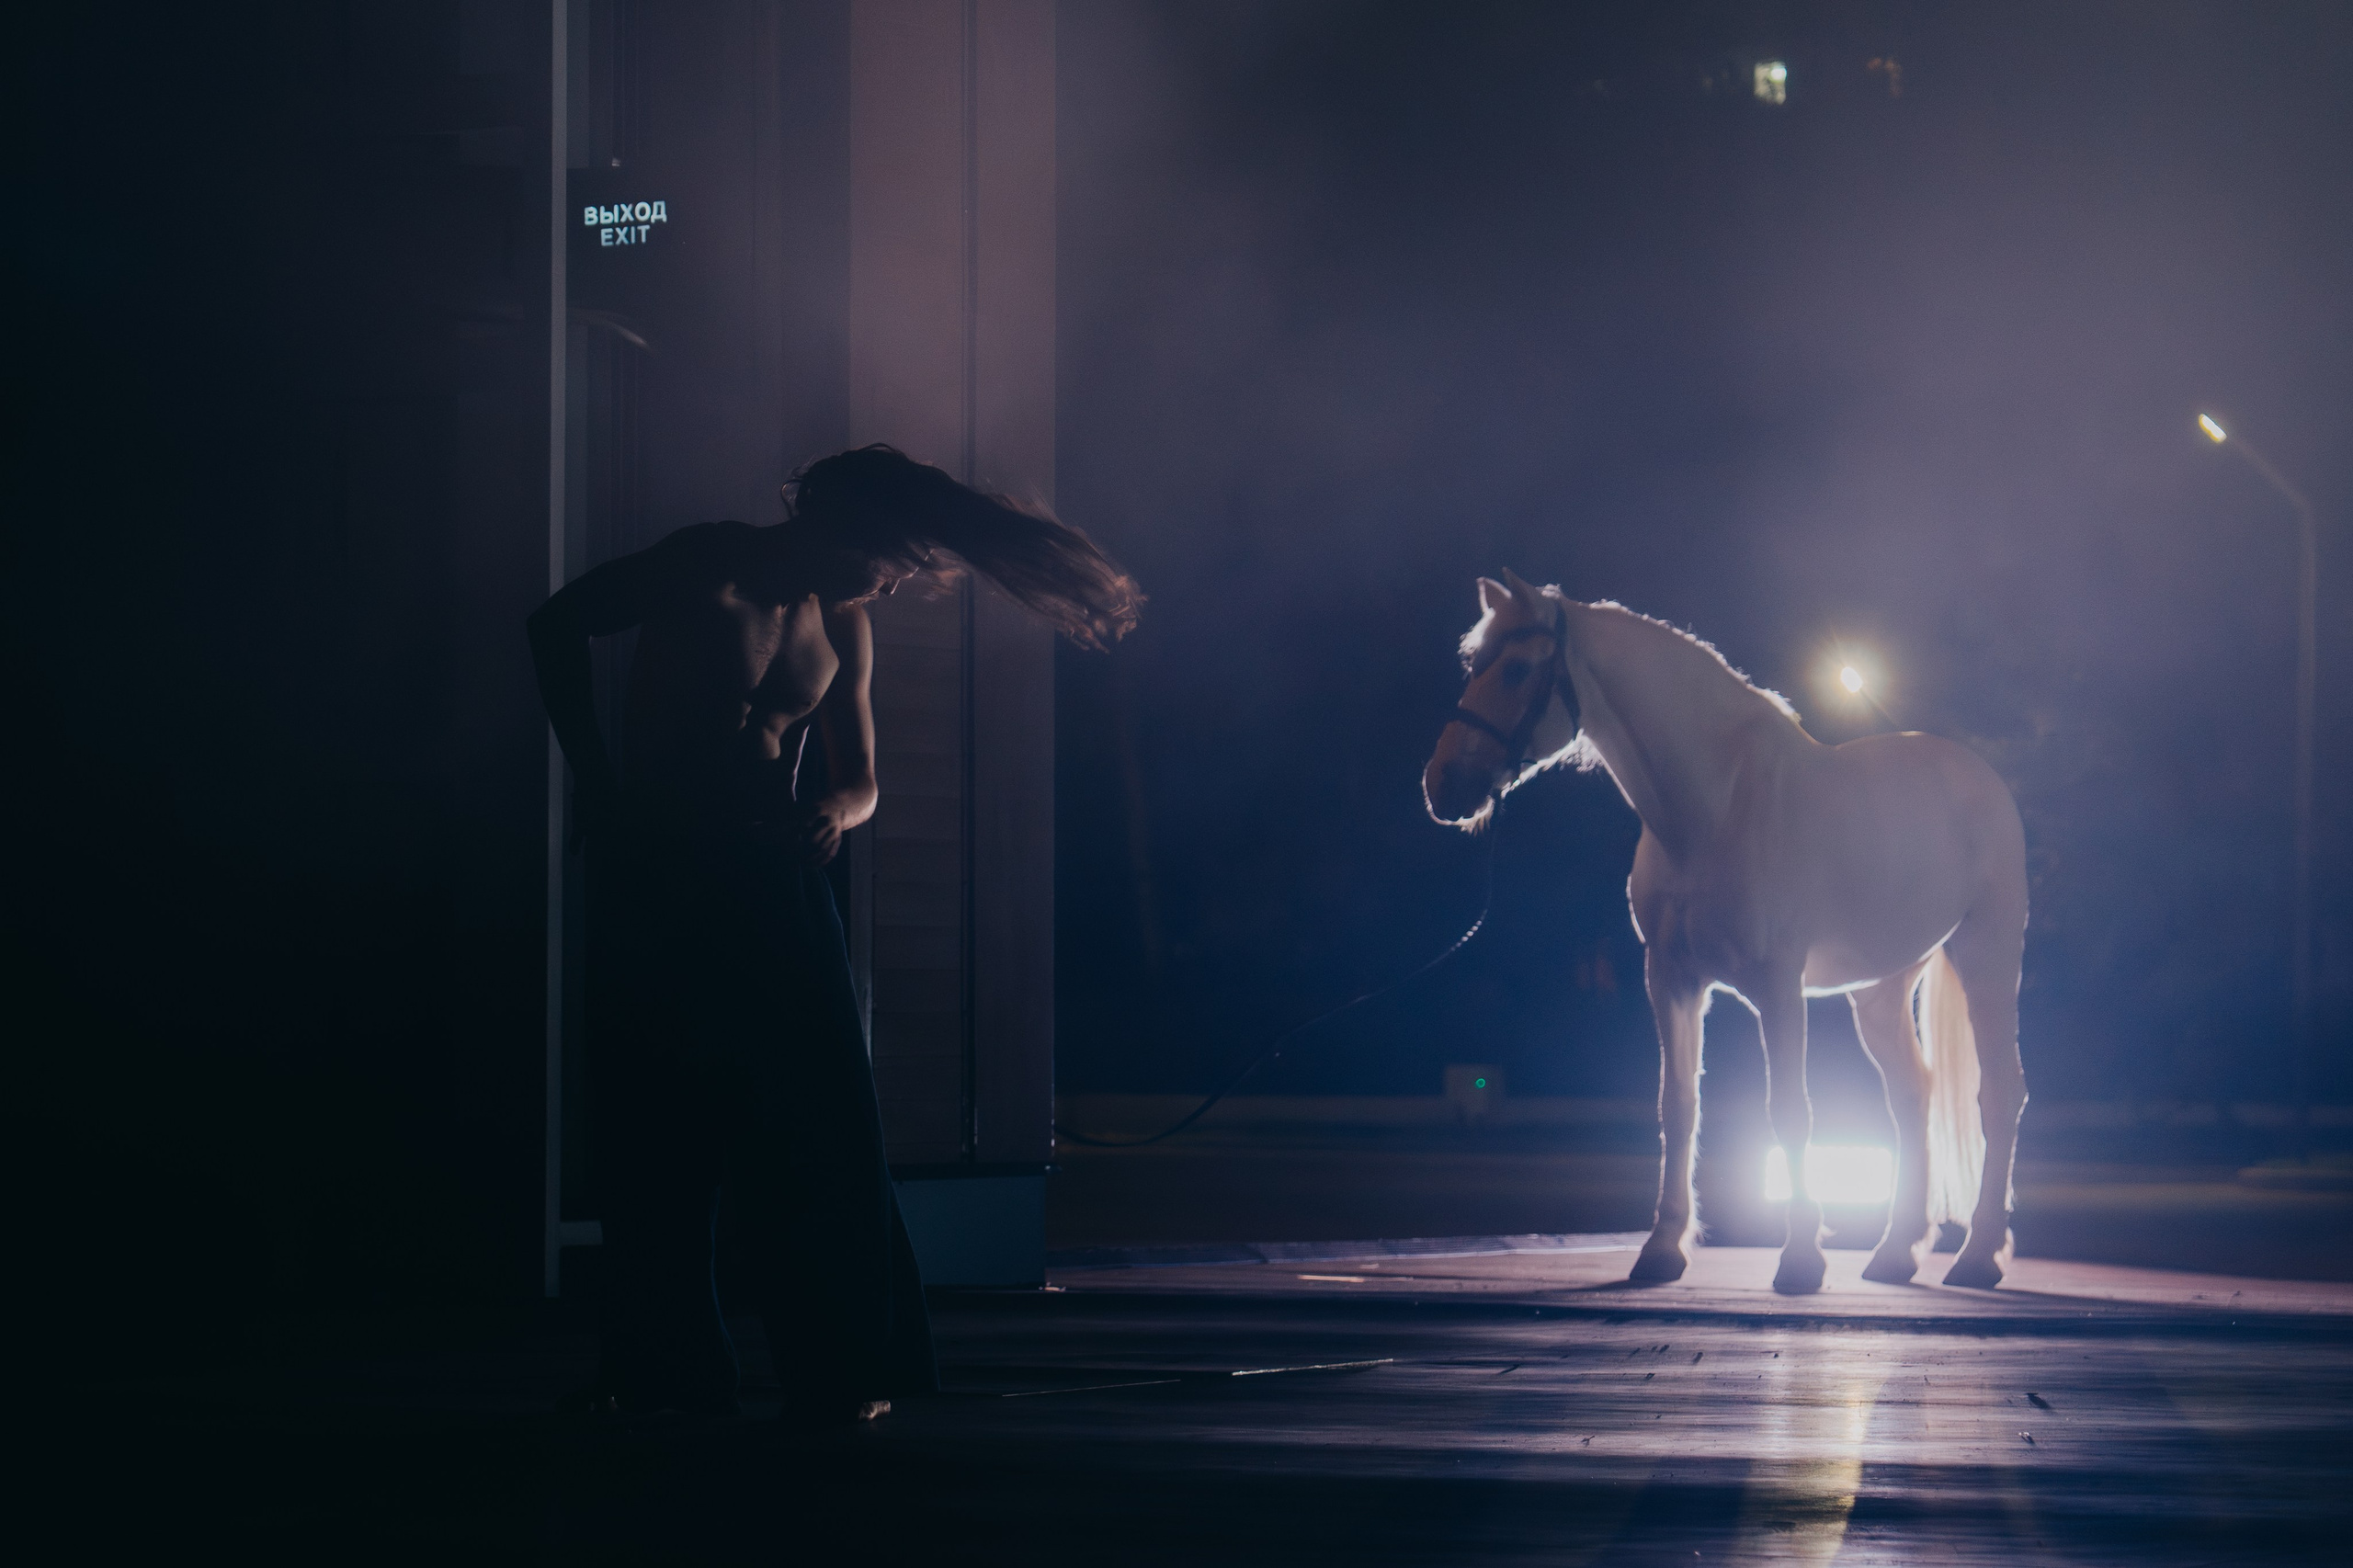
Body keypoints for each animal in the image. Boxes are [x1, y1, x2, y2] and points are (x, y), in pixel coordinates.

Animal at [1423, 570, 2028, 1293]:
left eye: (1515, 668)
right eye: (1474, 666)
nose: (1442, 786)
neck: (1715, 808)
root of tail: (1978, 776)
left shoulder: (1778, 988)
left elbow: (1790, 1111)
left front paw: (1800, 1261)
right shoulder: (1673, 980)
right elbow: (1679, 1108)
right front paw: (1661, 1250)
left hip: (1986, 955)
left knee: (2000, 1093)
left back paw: (1978, 1257)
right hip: (1880, 988)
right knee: (1913, 1095)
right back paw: (1894, 1254)